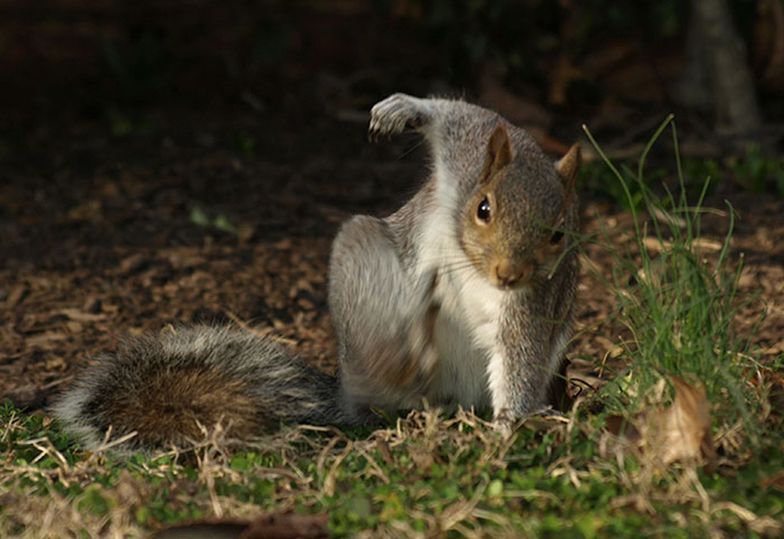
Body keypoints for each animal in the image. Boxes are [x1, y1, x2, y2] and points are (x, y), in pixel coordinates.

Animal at [53, 94, 580, 452]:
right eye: (483, 208)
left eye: (559, 233)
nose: (509, 273)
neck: (473, 263)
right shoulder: (467, 155)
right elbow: (459, 115)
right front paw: (403, 110)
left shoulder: (532, 303)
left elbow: (521, 357)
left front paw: (510, 427)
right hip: (360, 260)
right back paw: (399, 359)